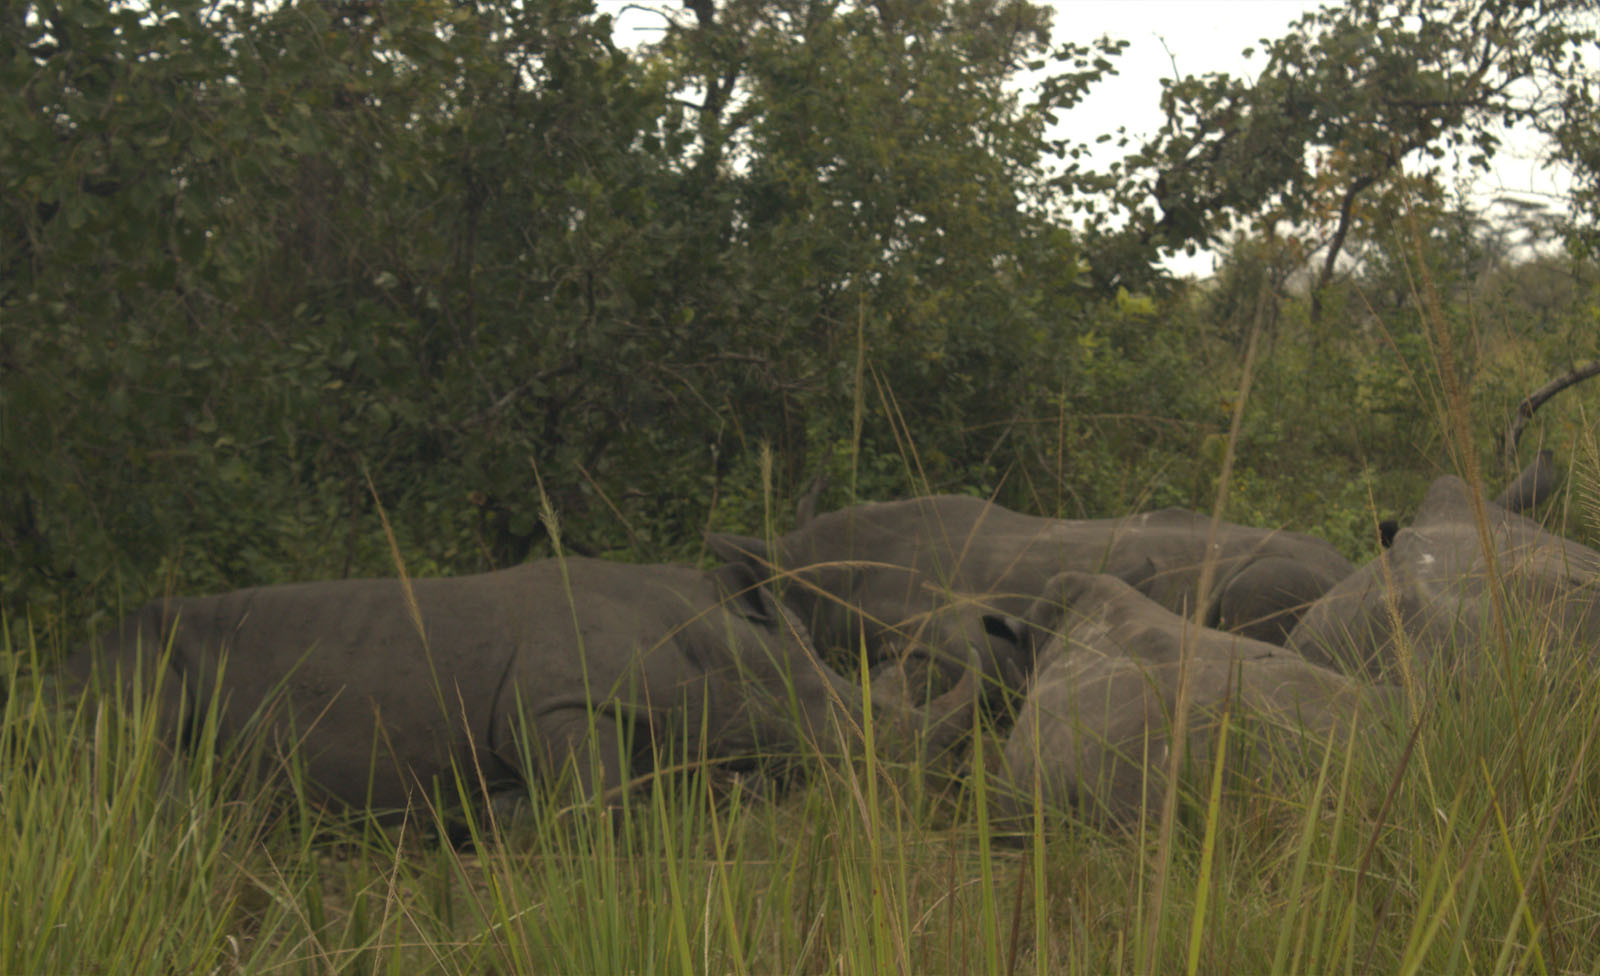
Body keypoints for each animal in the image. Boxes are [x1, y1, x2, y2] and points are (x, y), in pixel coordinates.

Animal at [65, 557, 977, 816]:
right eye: (845, 720)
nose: (916, 785)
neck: (711, 643)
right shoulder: (558, 702)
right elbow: (600, 802)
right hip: (132, 658)